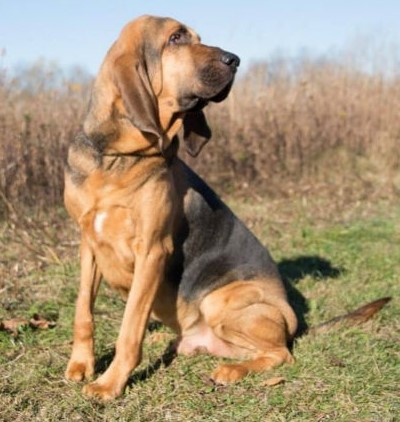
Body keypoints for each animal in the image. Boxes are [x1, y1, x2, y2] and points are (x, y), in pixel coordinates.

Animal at [64, 15, 390, 400]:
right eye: (176, 38)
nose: (235, 60)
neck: (118, 158)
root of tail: (296, 324)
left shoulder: (152, 251)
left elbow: (129, 328)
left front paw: (110, 384)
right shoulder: (88, 244)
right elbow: (83, 310)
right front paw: (81, 365)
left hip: (219, 302)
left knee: (282, 354)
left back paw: (231, 371)